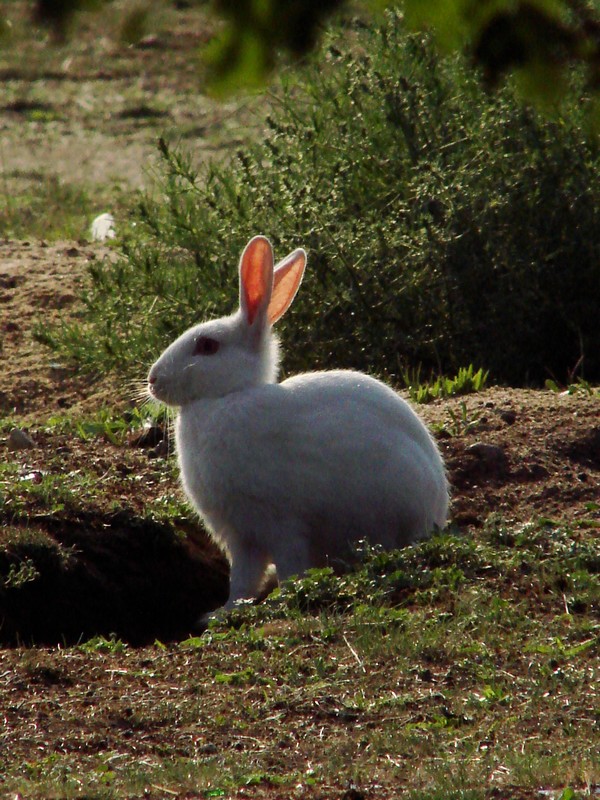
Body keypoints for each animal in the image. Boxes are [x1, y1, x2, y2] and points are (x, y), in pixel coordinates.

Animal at [148, 234, 448, 608]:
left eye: (207, 346)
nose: (153, 380)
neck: (226, 396)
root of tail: (437, 510)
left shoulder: (281, 524)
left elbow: (288, 564)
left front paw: (284, 595)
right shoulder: (243, 537)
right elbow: (242, 580)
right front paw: (224, 612)